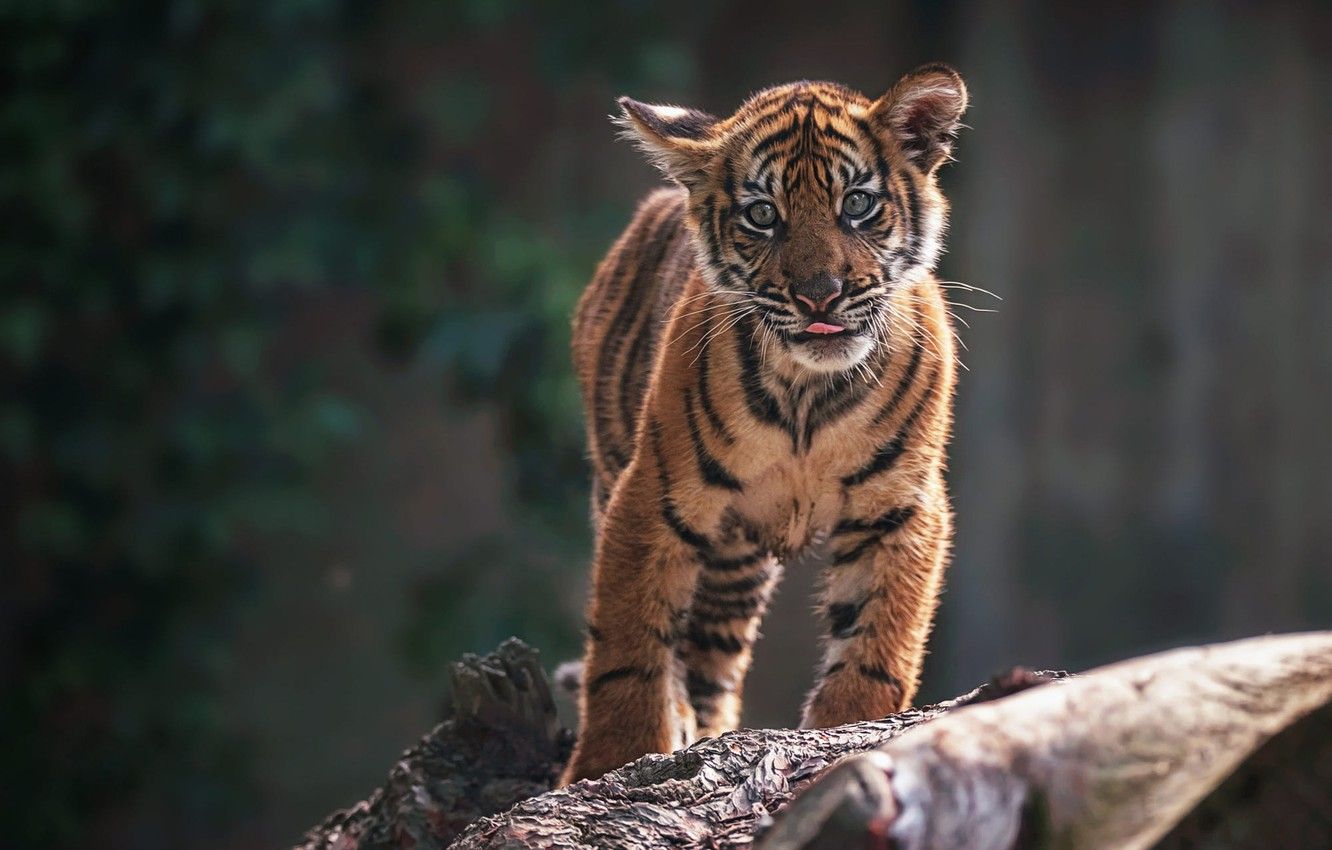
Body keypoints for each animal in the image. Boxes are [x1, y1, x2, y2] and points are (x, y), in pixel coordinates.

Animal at [561, 64, 968, 785]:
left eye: (857, 204)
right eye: (762, 215)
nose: (820, 295)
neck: (809, 388)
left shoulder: (900, 506)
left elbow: (877, 647)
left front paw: (848, 733)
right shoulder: (654, 495)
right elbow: (627, 647)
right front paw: (606, 763)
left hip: (735, 566)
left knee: (713, 660)